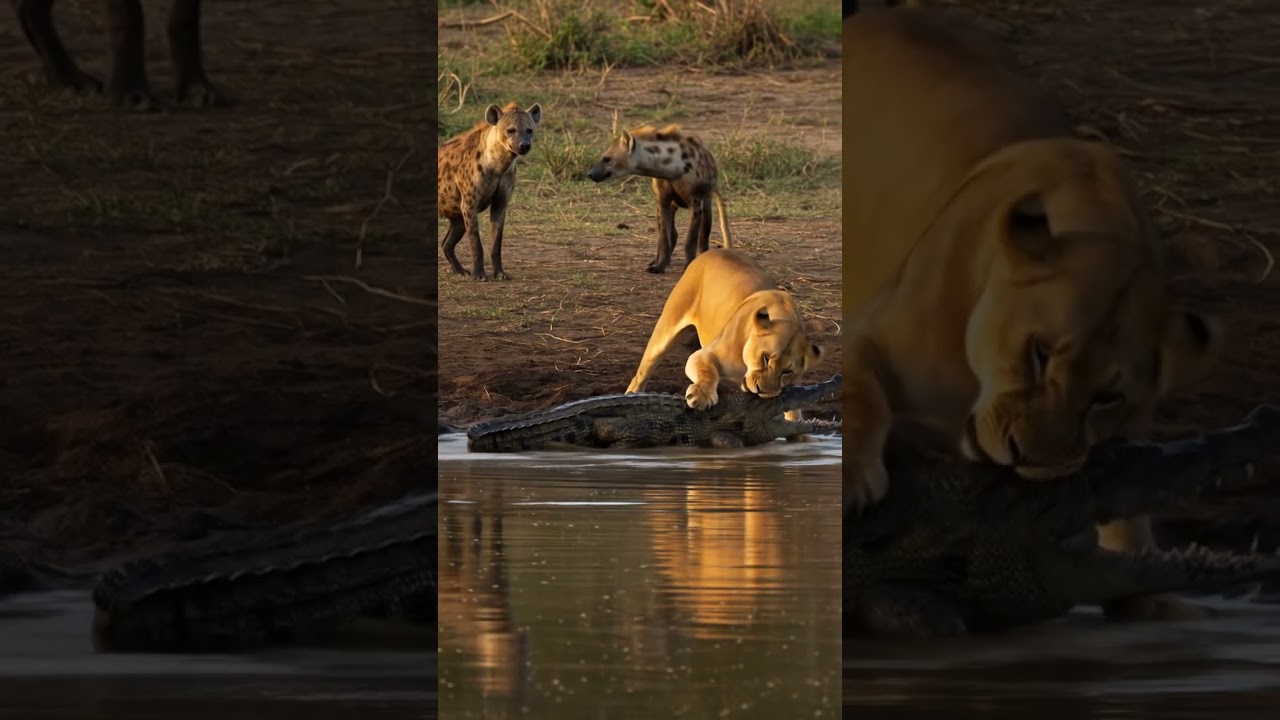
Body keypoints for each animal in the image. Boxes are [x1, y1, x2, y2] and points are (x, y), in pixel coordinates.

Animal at [626, 249, 823, 432]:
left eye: (787, 371)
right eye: (766, 358)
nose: (763, 391)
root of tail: (718, 249)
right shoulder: (703, 355)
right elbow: (708, 372)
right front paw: (701, 396)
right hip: (665, 331)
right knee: (640, 375)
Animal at [842, 9, 1221, 621]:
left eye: (1106, 396)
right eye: (1040, 353)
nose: (1029, 459)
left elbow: (1128, 510)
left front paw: (1148, 598)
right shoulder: (866, 332)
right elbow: (859, 398)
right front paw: (855, 478)